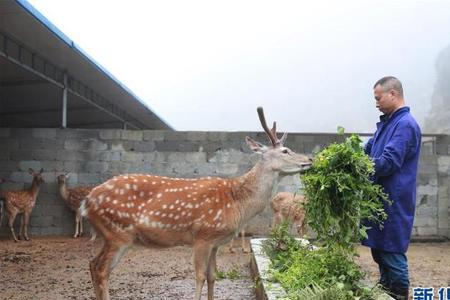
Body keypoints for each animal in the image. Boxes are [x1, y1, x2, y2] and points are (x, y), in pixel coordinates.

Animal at [81, 108, 312, 300]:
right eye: (285, 151)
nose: (309, 159)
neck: (237, 203)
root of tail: (87, 201)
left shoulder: (215, 242)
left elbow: (212, 276)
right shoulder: (203, 235)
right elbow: (199, 276)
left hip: (113, 235)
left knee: (93, 265)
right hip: (118, 233)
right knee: (101, 269)